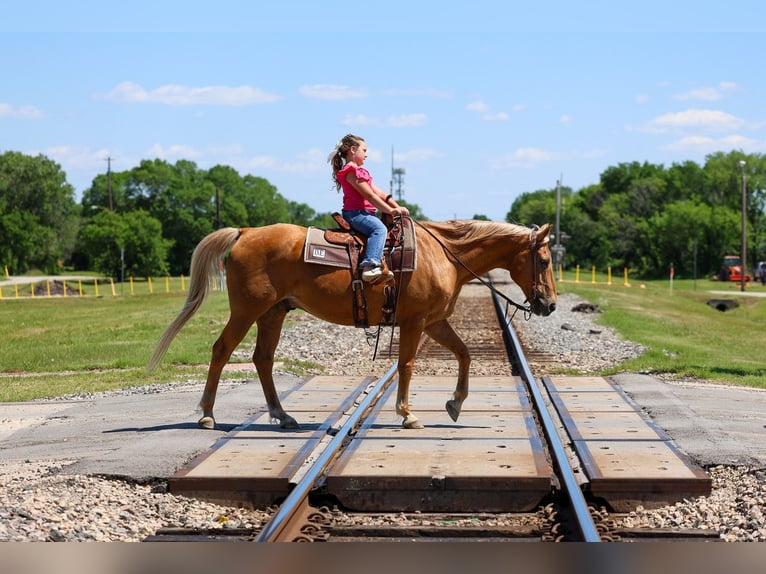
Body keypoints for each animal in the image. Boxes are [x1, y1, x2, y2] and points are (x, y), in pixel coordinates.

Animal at [148, 219, 557, 430]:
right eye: (545, 260)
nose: (550, 304)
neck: (444, 255)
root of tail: (247, 232)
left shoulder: (435, 322)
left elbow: (465, 353)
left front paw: (455, 403)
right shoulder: (415, 322)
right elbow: (407, 365)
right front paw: (408, 414)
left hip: (273, 313)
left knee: (262, 359)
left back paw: (283, 415)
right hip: (247, 311)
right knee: (221, 350)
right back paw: (207, 415)